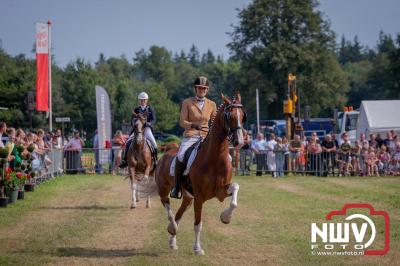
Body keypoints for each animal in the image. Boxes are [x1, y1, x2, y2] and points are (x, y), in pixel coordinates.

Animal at [155, 92, 245, 256]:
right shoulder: (199, 197)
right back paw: (172, 227)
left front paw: (226, 217)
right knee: (168, 209)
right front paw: (197, 248)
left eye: (242, 115)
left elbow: (235, 192)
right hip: (164, 190)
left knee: (178, 214)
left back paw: (172, 241)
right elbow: (198, 223)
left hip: (187, 198)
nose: (240, 142)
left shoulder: (221, 192)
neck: (214, 158)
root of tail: (167, 150)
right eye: (230, 116)